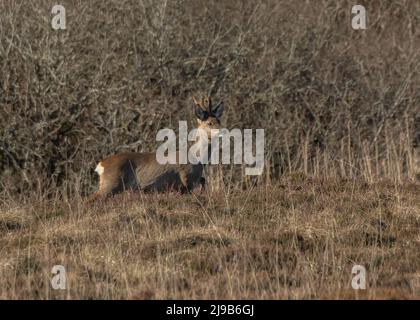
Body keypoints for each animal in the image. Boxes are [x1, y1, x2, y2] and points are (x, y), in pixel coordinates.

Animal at [90, 96, 225, 199]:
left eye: (219, 120)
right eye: (209, 123)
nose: (223, 131)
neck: (197, 159)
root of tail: (101, 165)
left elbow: (204, 181)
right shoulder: (186, 180)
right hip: (111, 183)